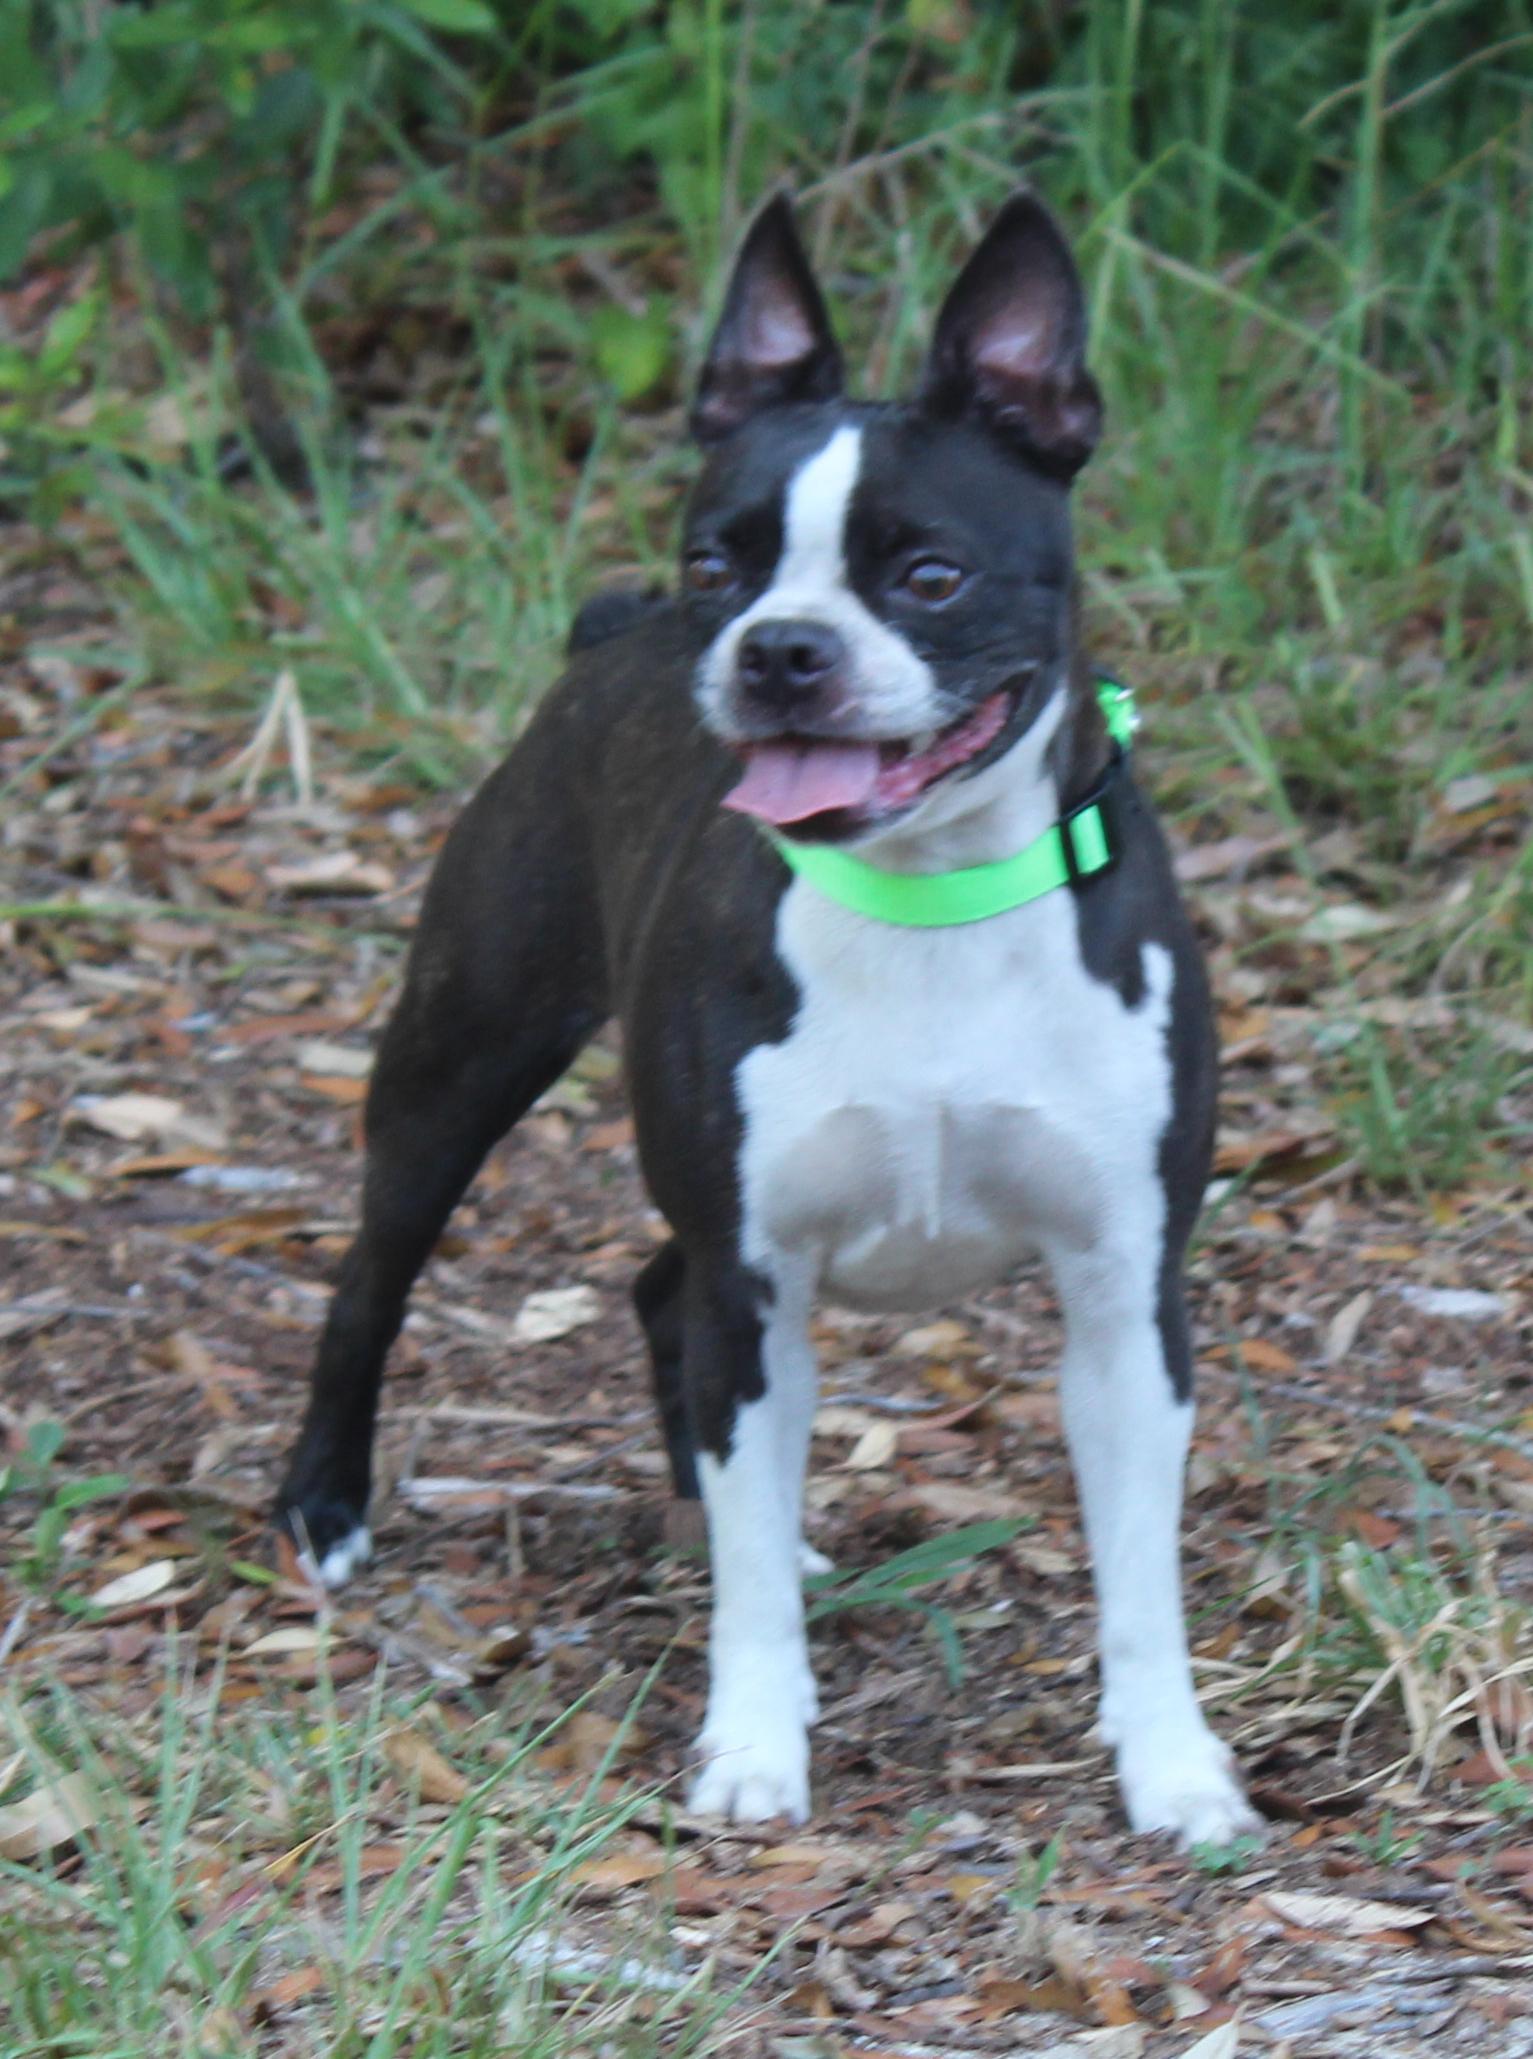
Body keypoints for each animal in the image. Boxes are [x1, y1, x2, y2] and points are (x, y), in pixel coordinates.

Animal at [276, 191, 1261, 1847]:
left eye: (929, 575)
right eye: (715, 561)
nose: (778, 647)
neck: (927, 894)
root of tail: (600, 640)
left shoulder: (1124, 1296)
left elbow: (1141, 1574)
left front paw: (1174, 1764)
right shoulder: (758, 1280)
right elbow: (743, 1563)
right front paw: (751, 1739)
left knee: (654, 1293)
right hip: (461, 1062)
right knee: (374, 1281)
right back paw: (326, 1501)